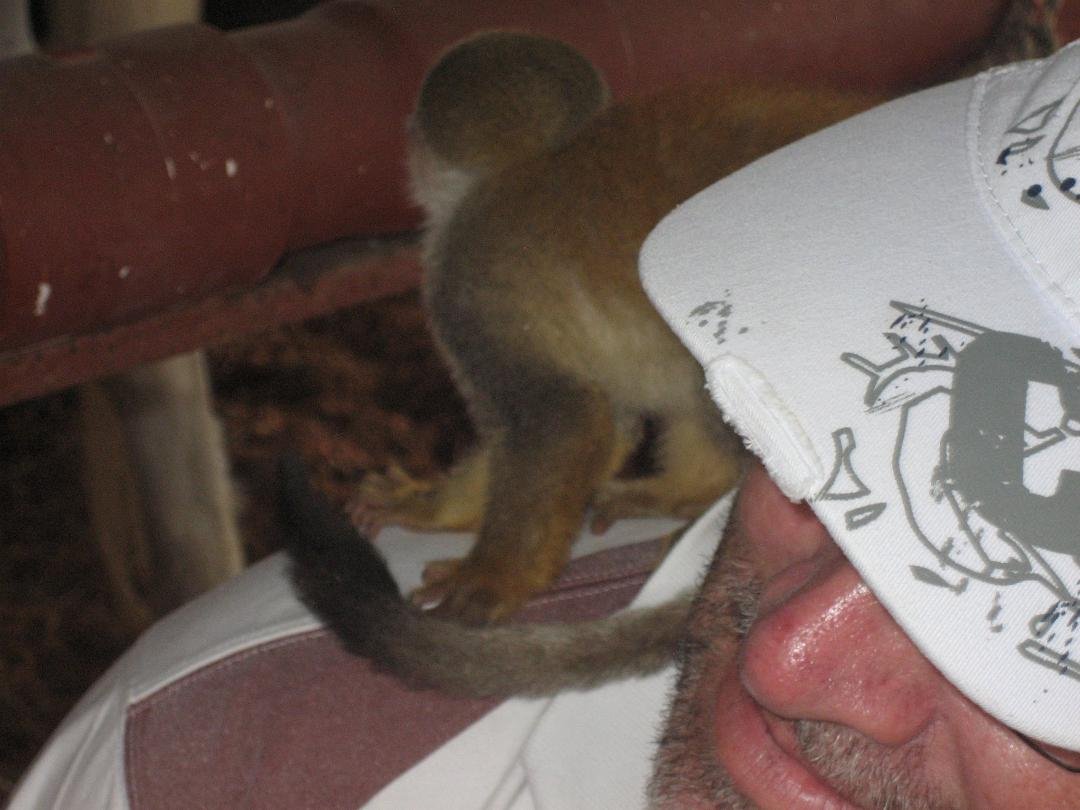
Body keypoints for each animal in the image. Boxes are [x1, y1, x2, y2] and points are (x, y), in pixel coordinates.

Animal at [346, 31, 876, 623]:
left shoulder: (462, 284)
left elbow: (559, 417)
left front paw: (485, 577)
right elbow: (607, 420)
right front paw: (424, 505)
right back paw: (685, 492)